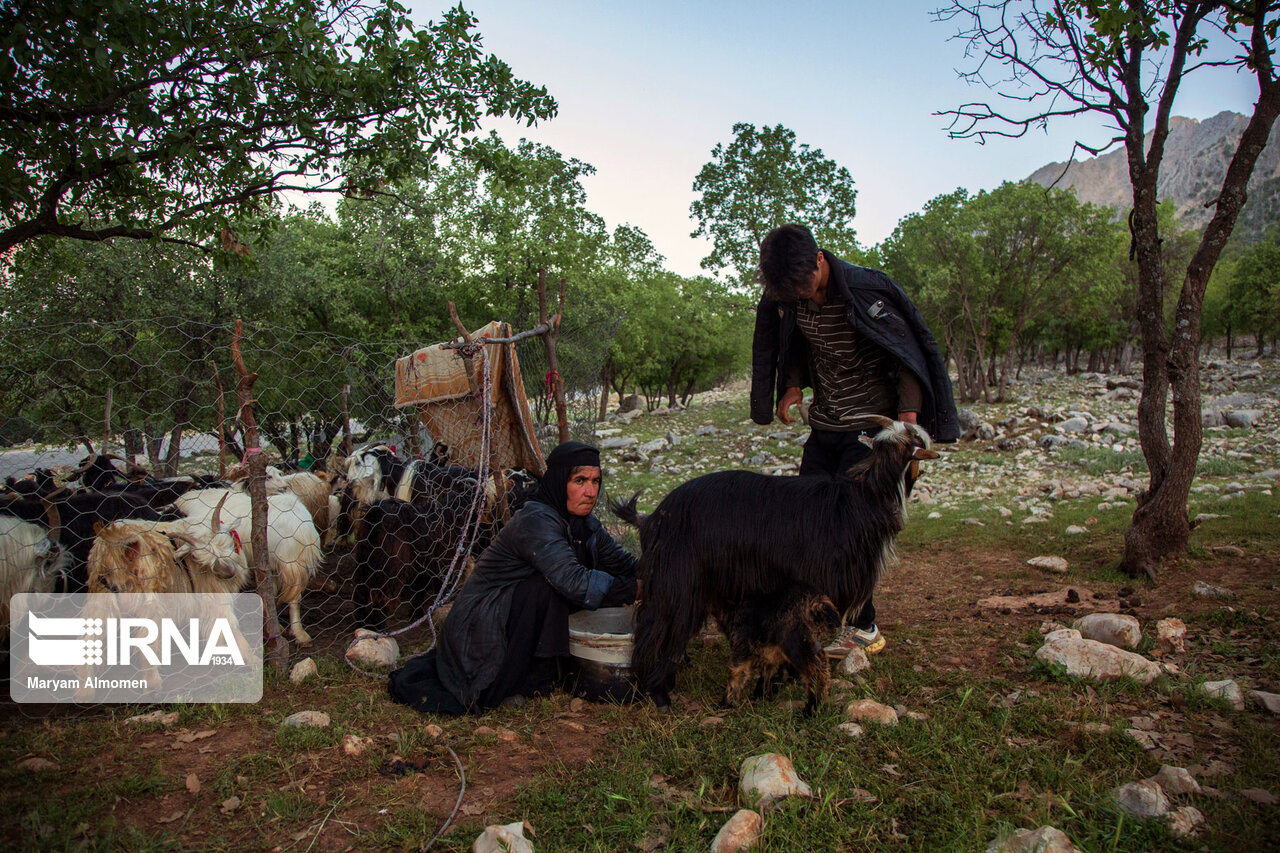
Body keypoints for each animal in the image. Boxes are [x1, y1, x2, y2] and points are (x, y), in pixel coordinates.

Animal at [619, 414, 942, 706]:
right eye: (917, 439)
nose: (930, 434)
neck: (864, 498)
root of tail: (654, 518)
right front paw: (791, 678)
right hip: (677, 581)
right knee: (654, 631)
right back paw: (657, 690)